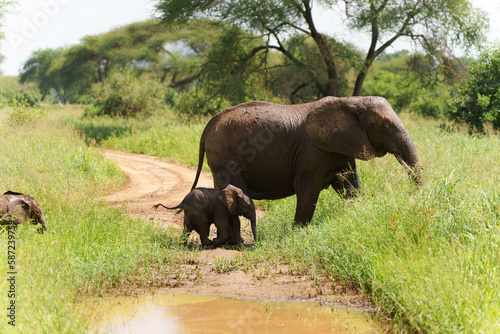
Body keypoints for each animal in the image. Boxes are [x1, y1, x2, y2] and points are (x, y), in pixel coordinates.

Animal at [190, 96, 422, 227]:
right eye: (384, 126)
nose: (415, 196)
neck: (351, 101)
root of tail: (207, 127)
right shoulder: (312, 149)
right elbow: (308, 188)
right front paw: (299, 231)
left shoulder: (342, 144)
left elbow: (349, 184)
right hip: (226, 157)